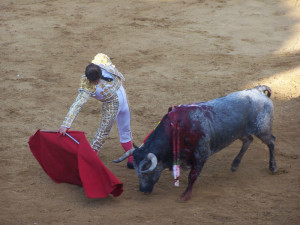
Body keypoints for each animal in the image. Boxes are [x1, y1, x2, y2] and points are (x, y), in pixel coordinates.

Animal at [114, 85, 276, 200]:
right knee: (248, 140)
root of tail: (257, 90)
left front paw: (185, 195)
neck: (179, 129)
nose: (143, 190)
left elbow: (192, 176)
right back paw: (235, 164)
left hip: (262, 130)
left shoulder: (201, 155)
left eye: (147, 170)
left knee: (271, 142)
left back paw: (273, 167)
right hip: (238, 133)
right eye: (136, 170)